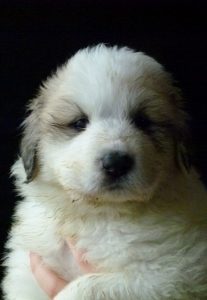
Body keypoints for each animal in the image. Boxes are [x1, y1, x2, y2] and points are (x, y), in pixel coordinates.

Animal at [2, 45, 207, 300]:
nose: (116, 163)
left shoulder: (169, 274)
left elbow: (90, 285)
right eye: (79, 123)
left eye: (143, 122)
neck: (101, 215)